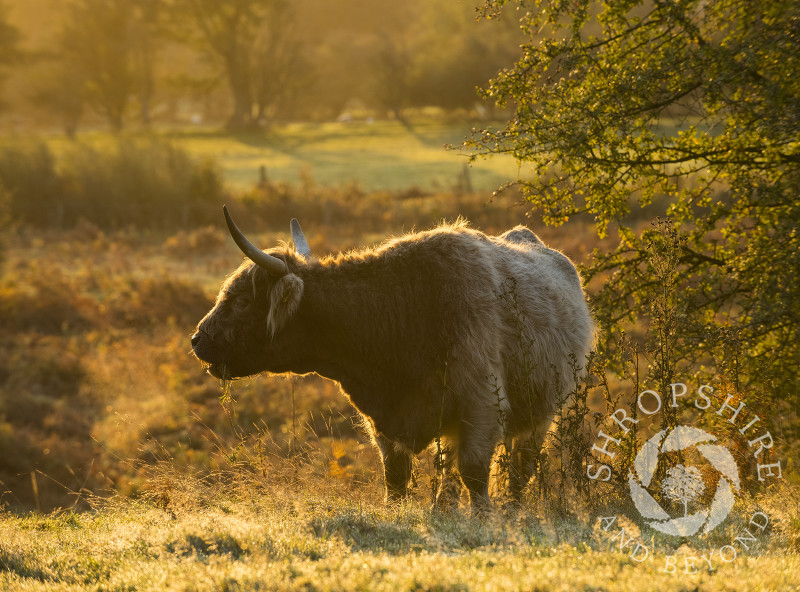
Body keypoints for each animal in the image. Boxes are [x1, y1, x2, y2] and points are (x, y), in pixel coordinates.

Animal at [192, 209, 592, 512]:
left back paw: (511, 510)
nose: (198, 341)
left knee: (520, 467)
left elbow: (474, 473)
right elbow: (396, 477)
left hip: (542, 414)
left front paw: (482, 520)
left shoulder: (482, 407)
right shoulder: (385, 422)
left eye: (242, 301)